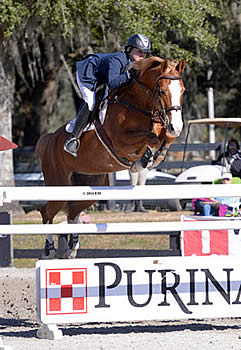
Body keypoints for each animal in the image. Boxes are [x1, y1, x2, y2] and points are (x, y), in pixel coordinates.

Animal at [36, 56, 185, 258]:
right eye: (162, 91)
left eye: (182, 90)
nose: (177, 126)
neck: (139, 106)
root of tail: (50, 139)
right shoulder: (121, 142)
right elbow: (151, 138)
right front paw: (142, 161)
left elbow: (165, 137)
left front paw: (157, 155)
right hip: (58, 184)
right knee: (46, 212)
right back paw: (49, 249)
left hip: (90, 185)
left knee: (72, 213)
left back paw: (72, 248)